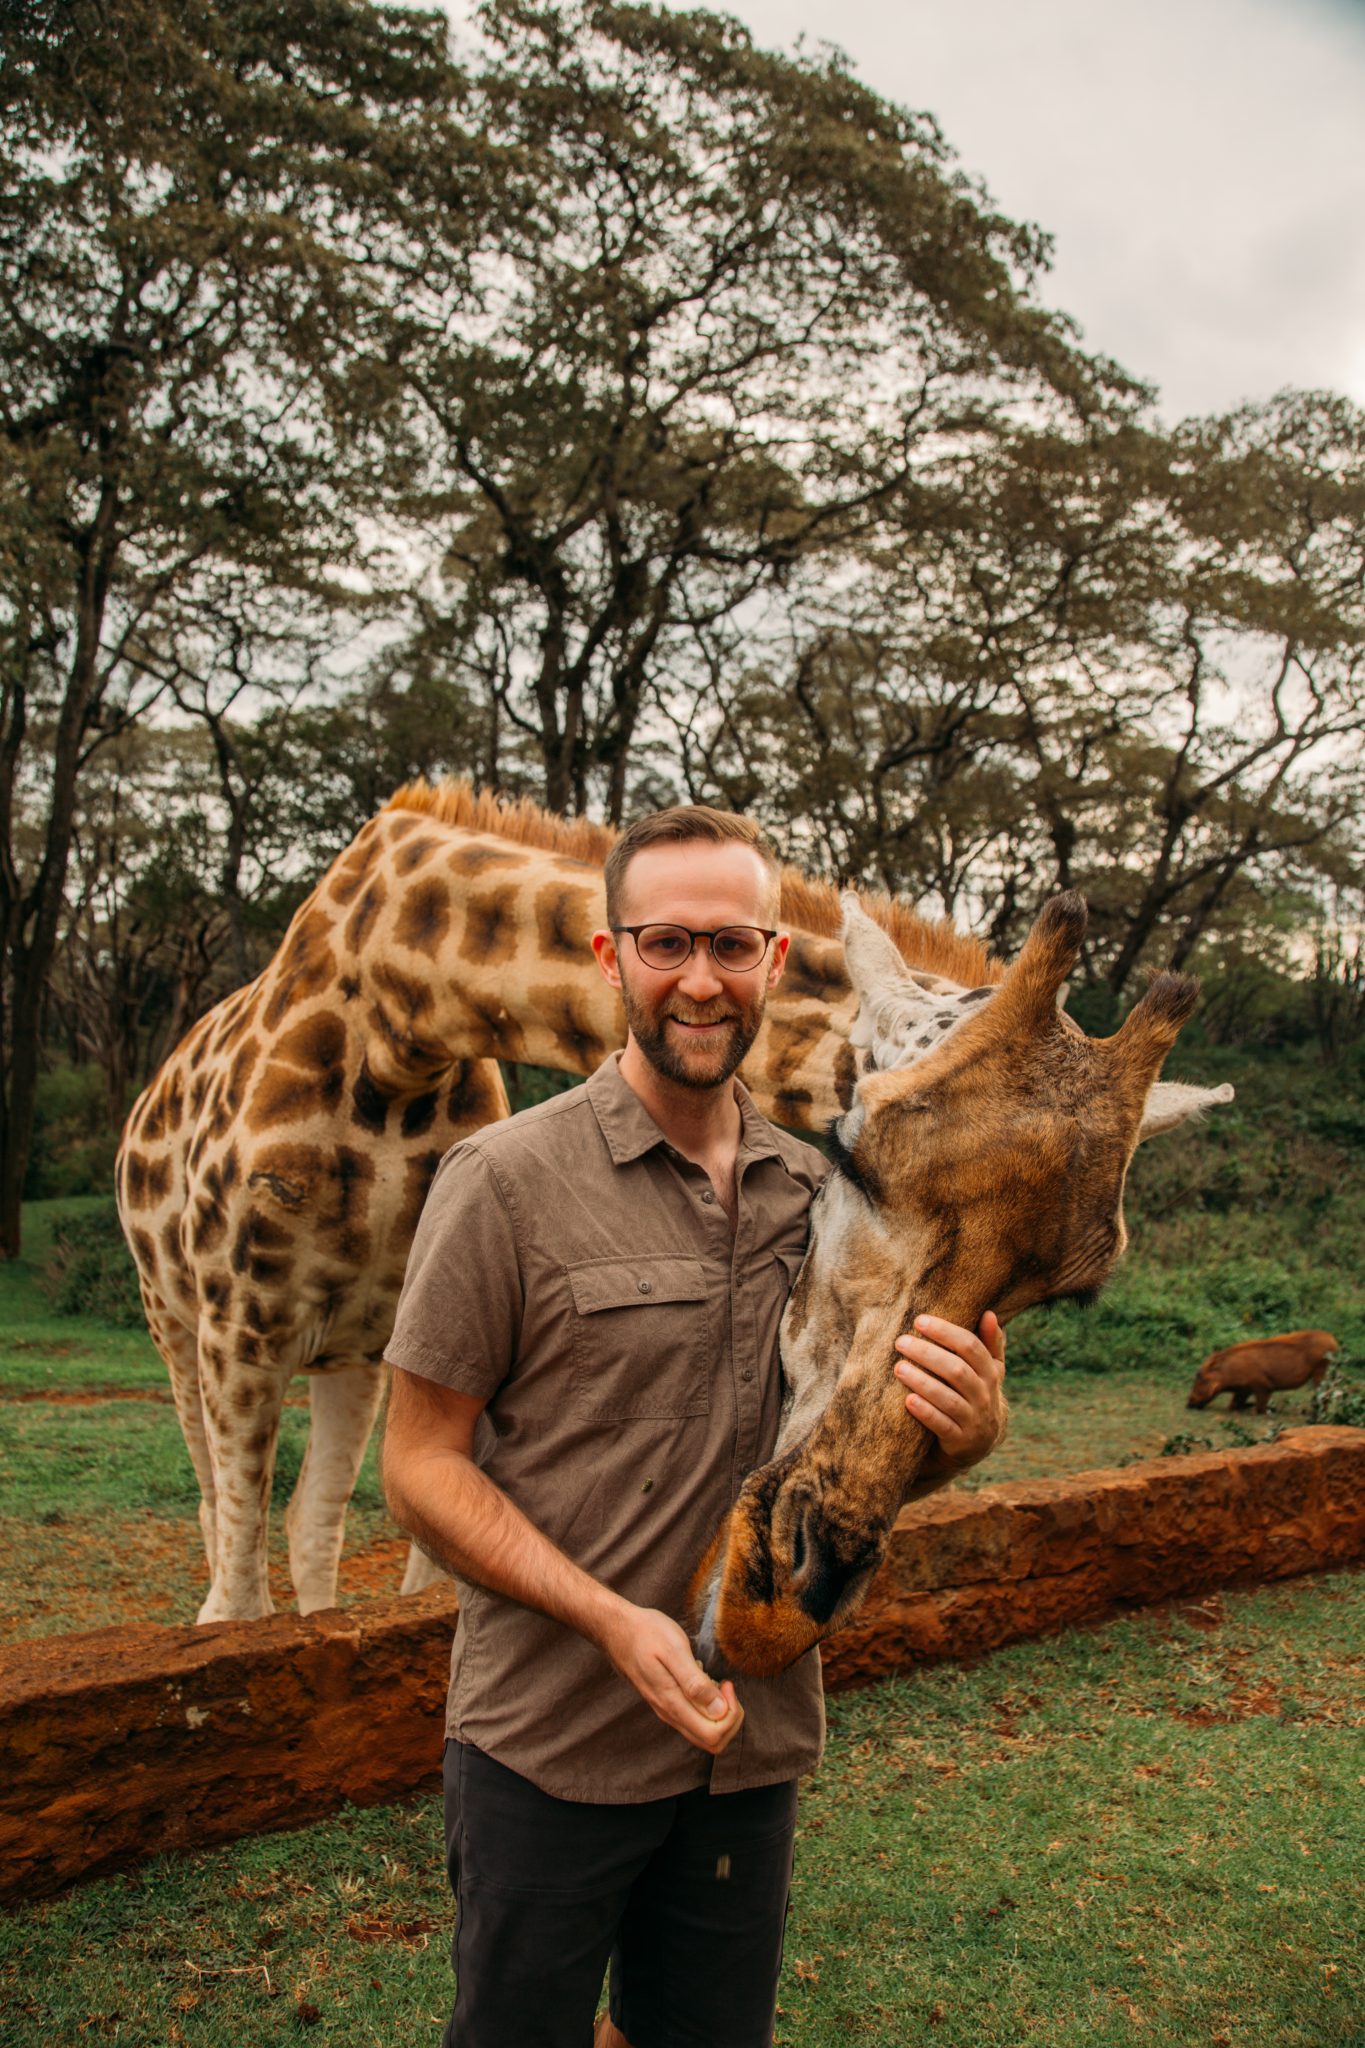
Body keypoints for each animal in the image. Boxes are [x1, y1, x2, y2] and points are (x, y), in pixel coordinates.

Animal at [117, 778, 998, 1613]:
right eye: (862, 1166)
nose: (821, 1562)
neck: (401, 1018)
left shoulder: (410, 1329)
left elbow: (427, 1581)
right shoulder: (242, 1326)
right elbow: (235, 1597)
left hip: (347, 1354)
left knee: (312, 1518)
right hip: (174, 1324)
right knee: (220, 1511)